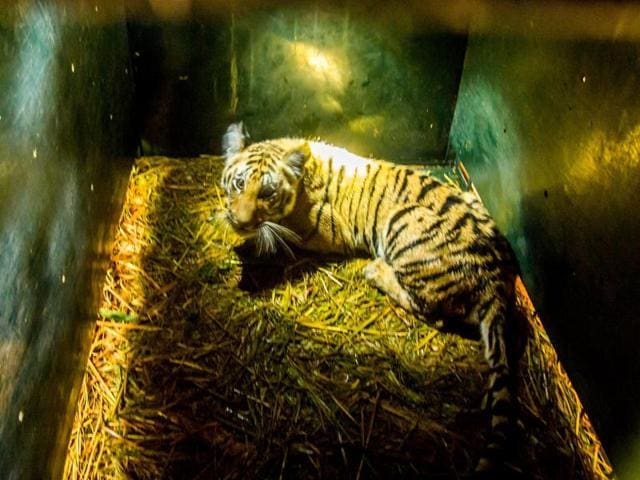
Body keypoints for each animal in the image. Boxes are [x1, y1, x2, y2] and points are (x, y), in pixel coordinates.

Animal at [219, 122, 524, 476]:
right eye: (239, 183)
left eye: (267, 194)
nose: (240, 222)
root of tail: (496, 278)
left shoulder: (321, 230)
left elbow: (278, 233)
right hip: (472, 202)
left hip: (403, 220)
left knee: (432, 312)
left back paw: (376, 270)